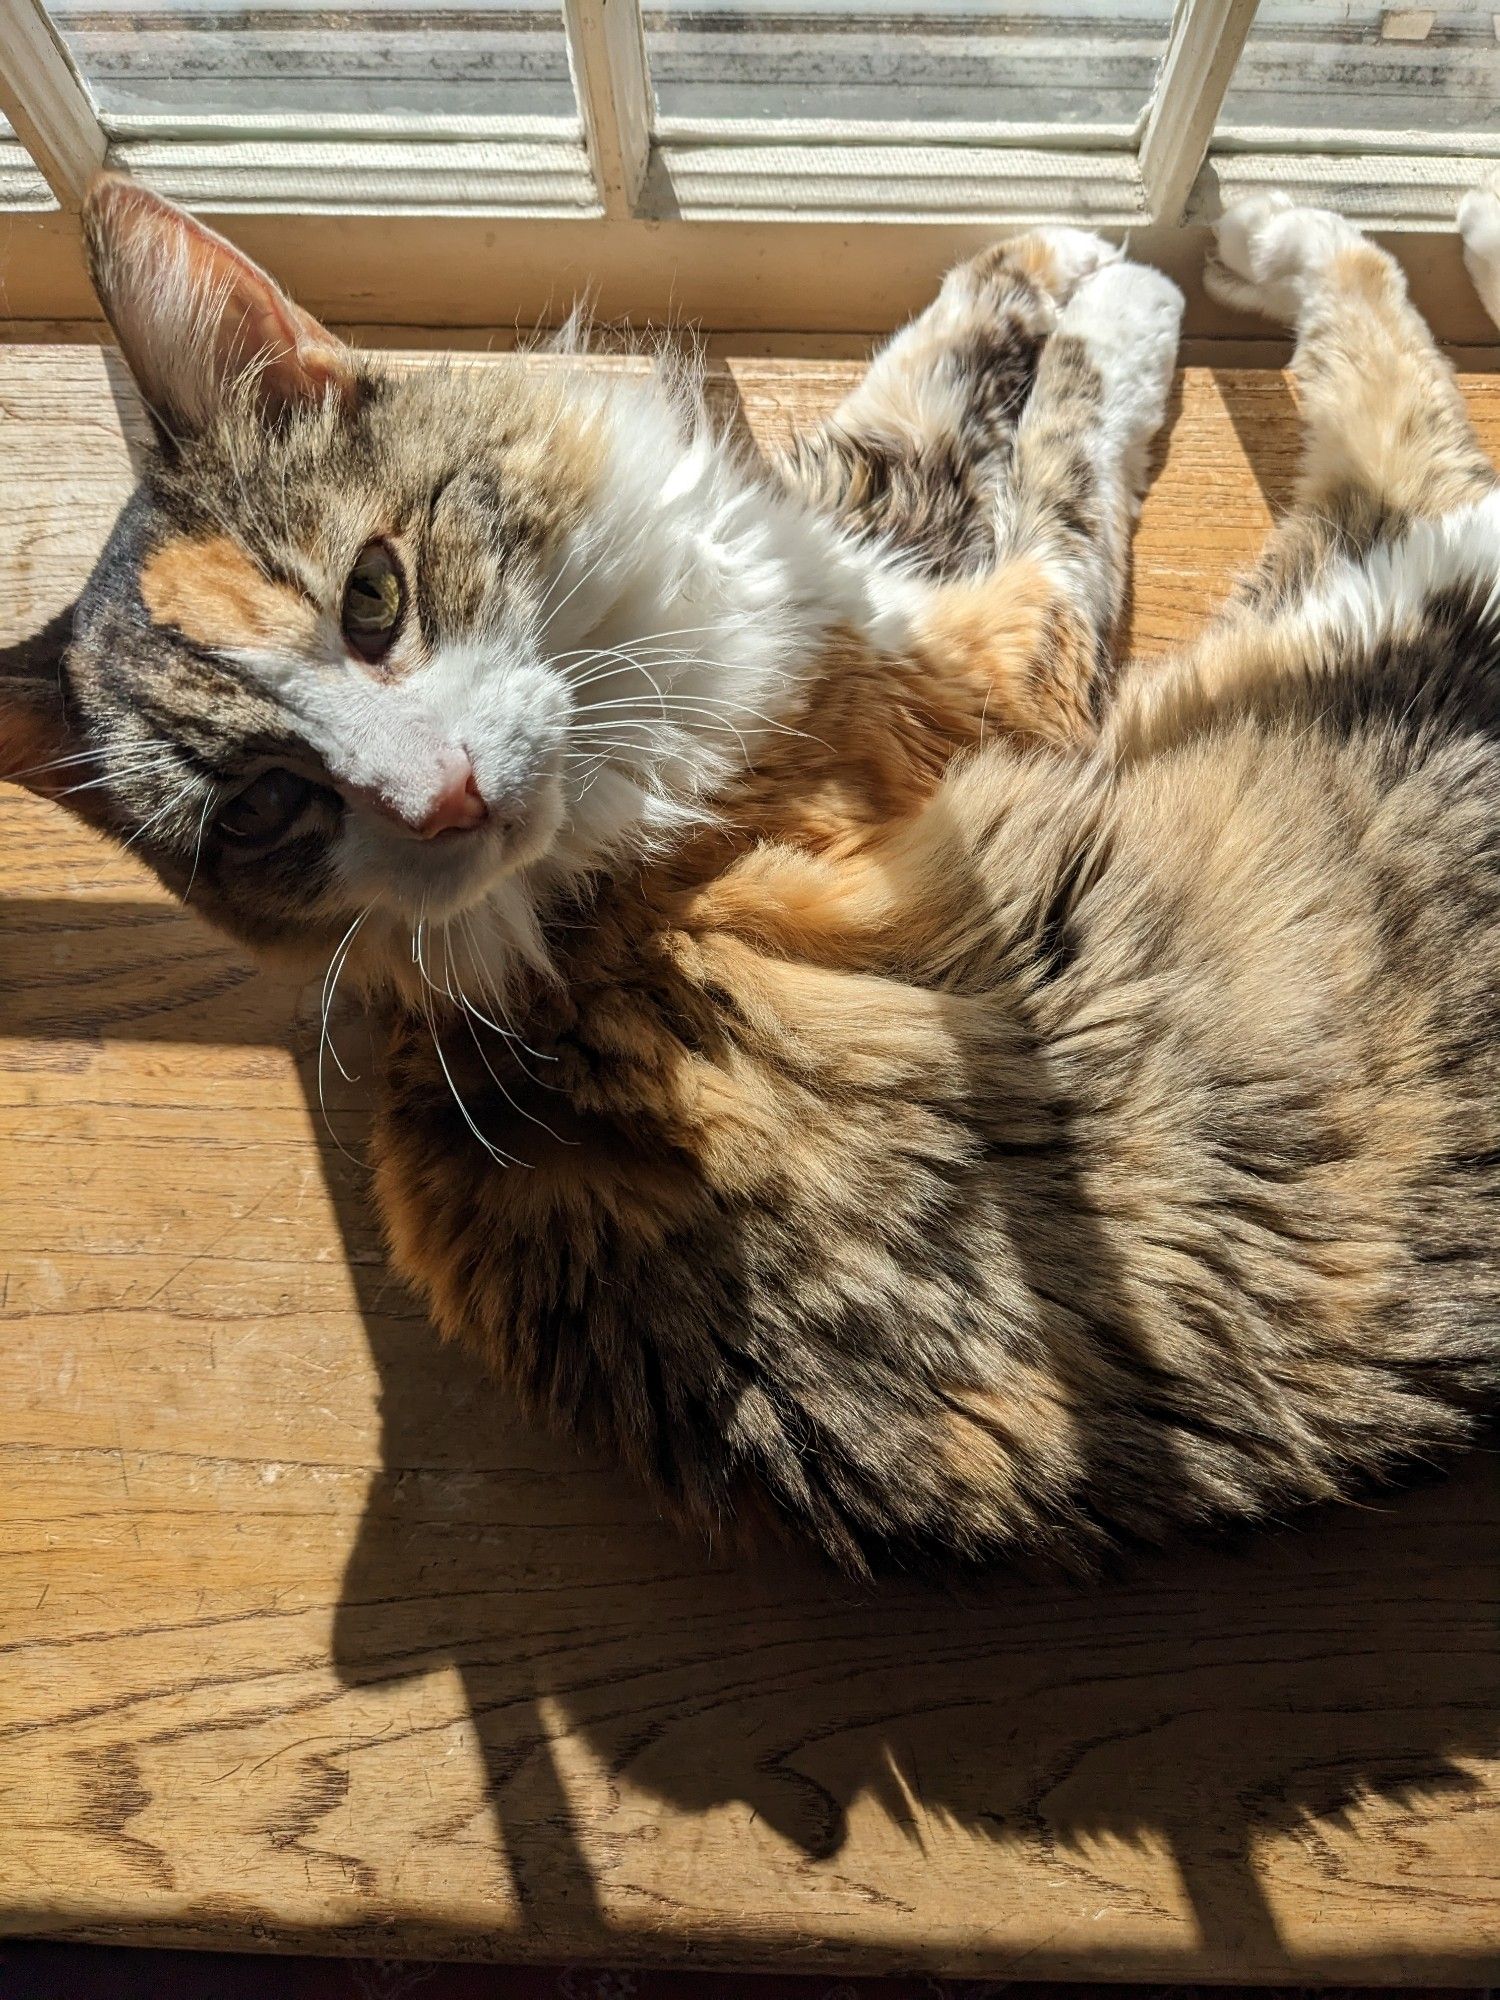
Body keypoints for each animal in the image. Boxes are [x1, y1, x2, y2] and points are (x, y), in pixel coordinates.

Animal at [0, 176, 1496, 1576]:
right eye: (264, 807)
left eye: (373, 596)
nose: (445, 796)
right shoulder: (989, 667)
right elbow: (1060, 455)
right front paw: (1116, 303)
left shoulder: (817, 555)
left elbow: (912, 404)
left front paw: (1038, 258)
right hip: (1383, 603)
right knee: (1405, 411)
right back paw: (1270, 239)